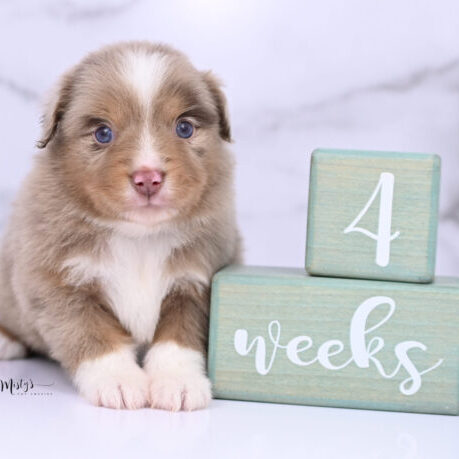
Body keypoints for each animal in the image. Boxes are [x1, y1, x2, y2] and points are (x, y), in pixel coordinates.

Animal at [0, 41, 243, 412]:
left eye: (184, 128)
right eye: (103, 133)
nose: (148, 178)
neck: (139, 238)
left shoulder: (196, 281)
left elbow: (179, 338)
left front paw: (178, 382)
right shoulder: (56, 283)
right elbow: (93, 335)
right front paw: (119, 381)